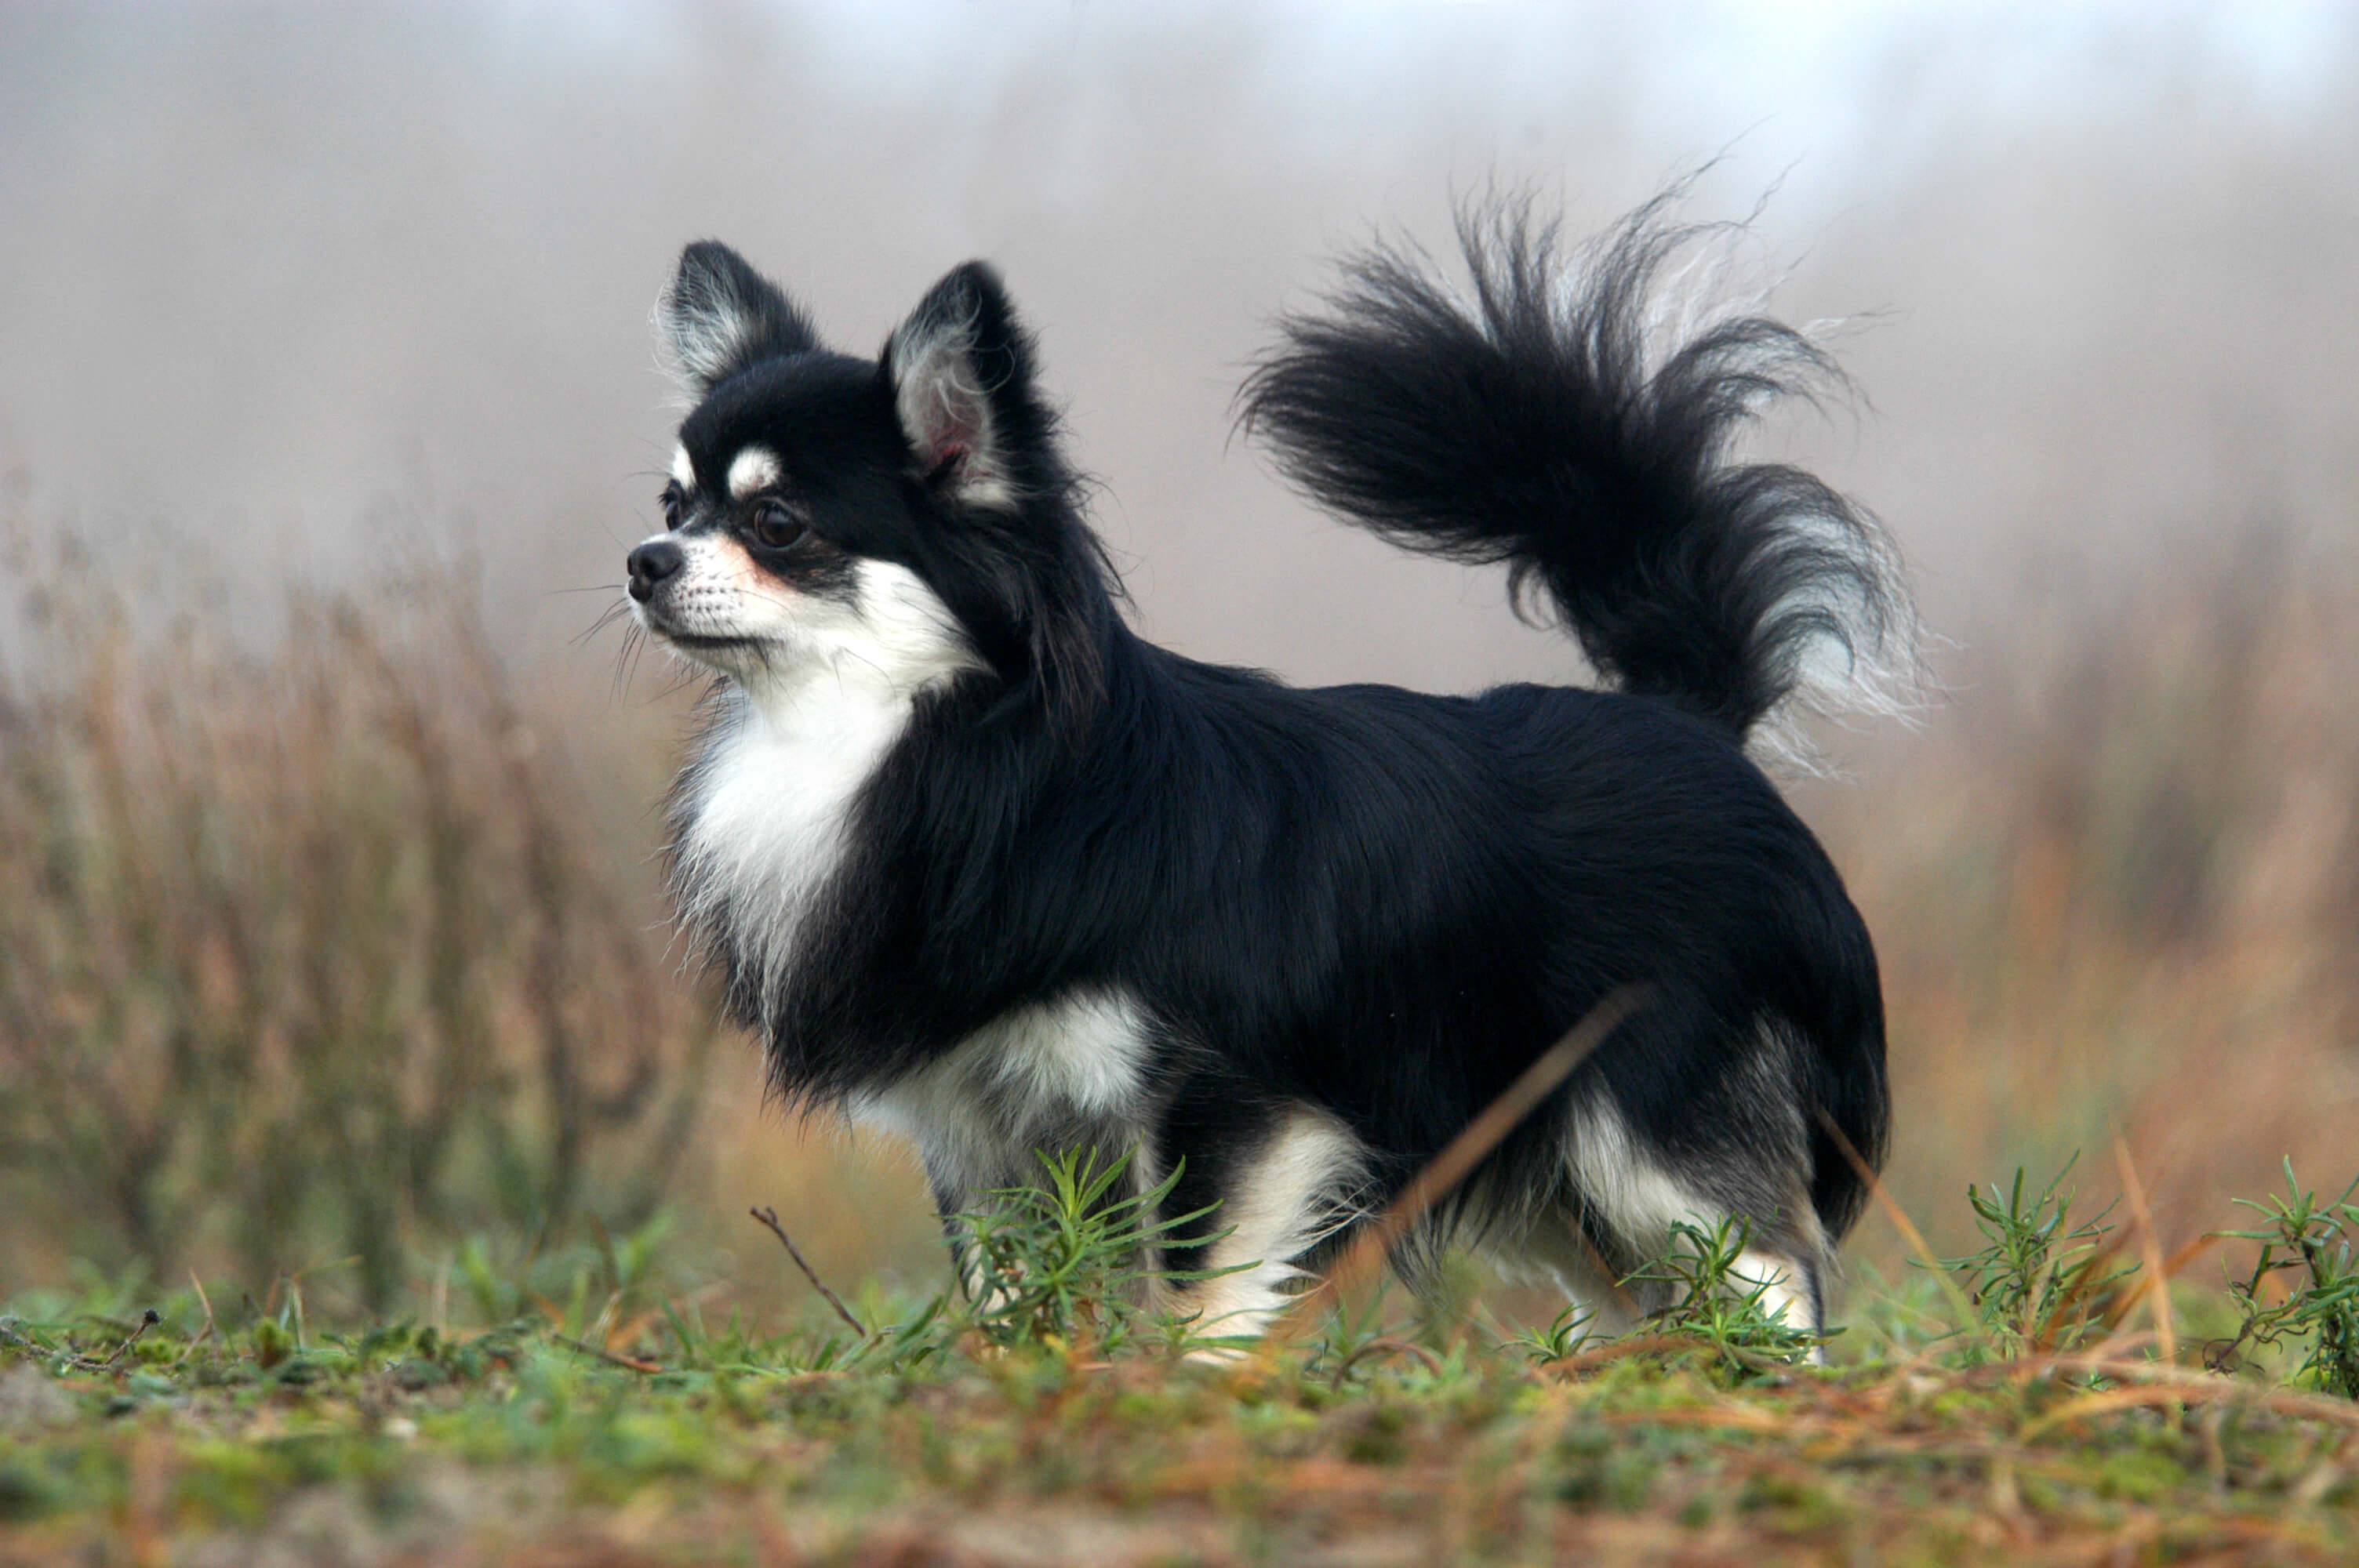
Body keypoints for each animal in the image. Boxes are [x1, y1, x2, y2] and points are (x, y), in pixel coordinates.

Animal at [627, 190, 1915, 1339]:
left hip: (1654, 1143)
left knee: (1771, 1279)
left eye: (778, 524)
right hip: (1566, 1187)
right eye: (675, 501)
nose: (643, 560)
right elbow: (1011, 1308)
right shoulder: (983, 1135)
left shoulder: (1236, 1112)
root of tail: (1690, 724)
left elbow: (1197, 1302)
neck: (937, 750)